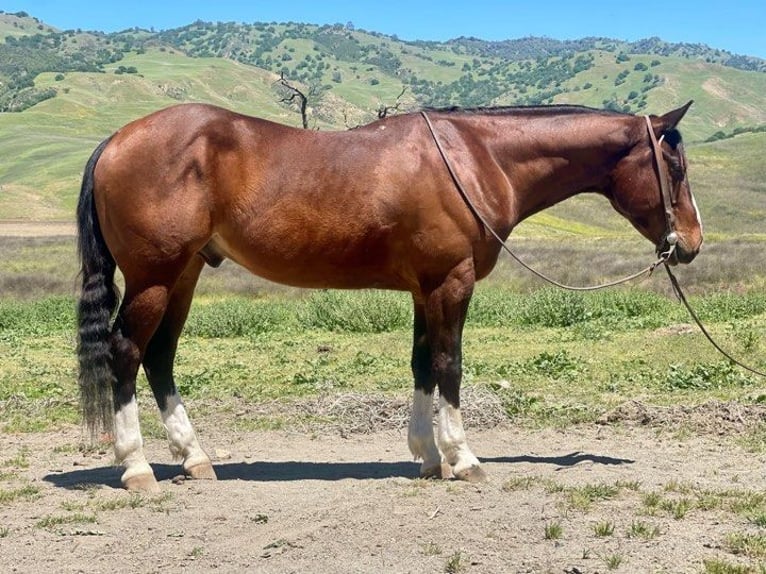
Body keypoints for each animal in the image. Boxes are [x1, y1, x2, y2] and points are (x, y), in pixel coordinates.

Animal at [76, 101, 704, 492]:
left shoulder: (426, 289)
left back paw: (195, 459)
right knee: (127, 353)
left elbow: (423, 364)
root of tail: (116, 140)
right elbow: (450, 364)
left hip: (183, 276)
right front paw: (464, 458)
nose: (691, 243)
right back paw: (136, 468)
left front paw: (428, 456)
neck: (477, 159)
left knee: (160, 357)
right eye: (673, 165)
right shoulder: (451, 281)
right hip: (156, 277)